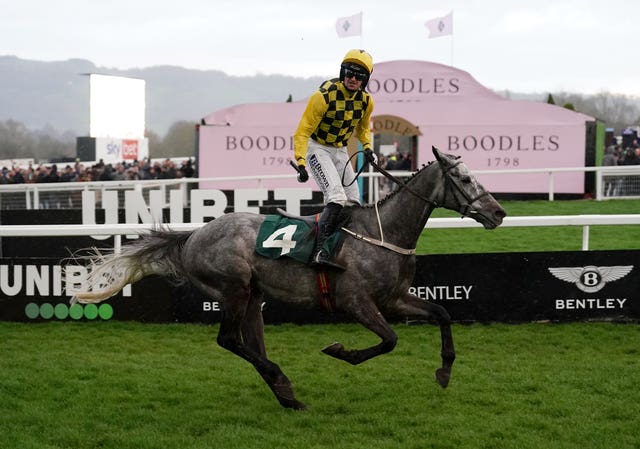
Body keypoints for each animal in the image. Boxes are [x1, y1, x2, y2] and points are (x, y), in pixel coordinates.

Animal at [72, 146, 504, 410]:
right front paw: (340, 351)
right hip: (233, 288)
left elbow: (443, 313)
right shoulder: (357, 303)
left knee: (251, 343)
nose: (498, 212)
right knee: (229, 340)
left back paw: (286, 394)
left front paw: (444, 371)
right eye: (465, 180)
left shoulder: (395, 299)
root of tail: (192, 235)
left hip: (252, 296)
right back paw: (281, 380)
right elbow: (389, 341)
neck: (384, 233)